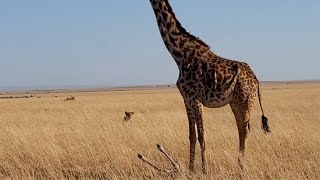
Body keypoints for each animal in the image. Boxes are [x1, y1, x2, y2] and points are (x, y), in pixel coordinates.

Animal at [148, 0, 270, 174]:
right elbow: (191, 136)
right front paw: (191, 169)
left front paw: (204, 169)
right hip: (235, 103)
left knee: (245, 130)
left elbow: (202, 136)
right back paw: (239, 164)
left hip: (245, 101)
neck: (179, 55)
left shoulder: (196, 100)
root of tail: (256, 80)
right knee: (241, 129)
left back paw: (241, 166)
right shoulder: (187, 99)